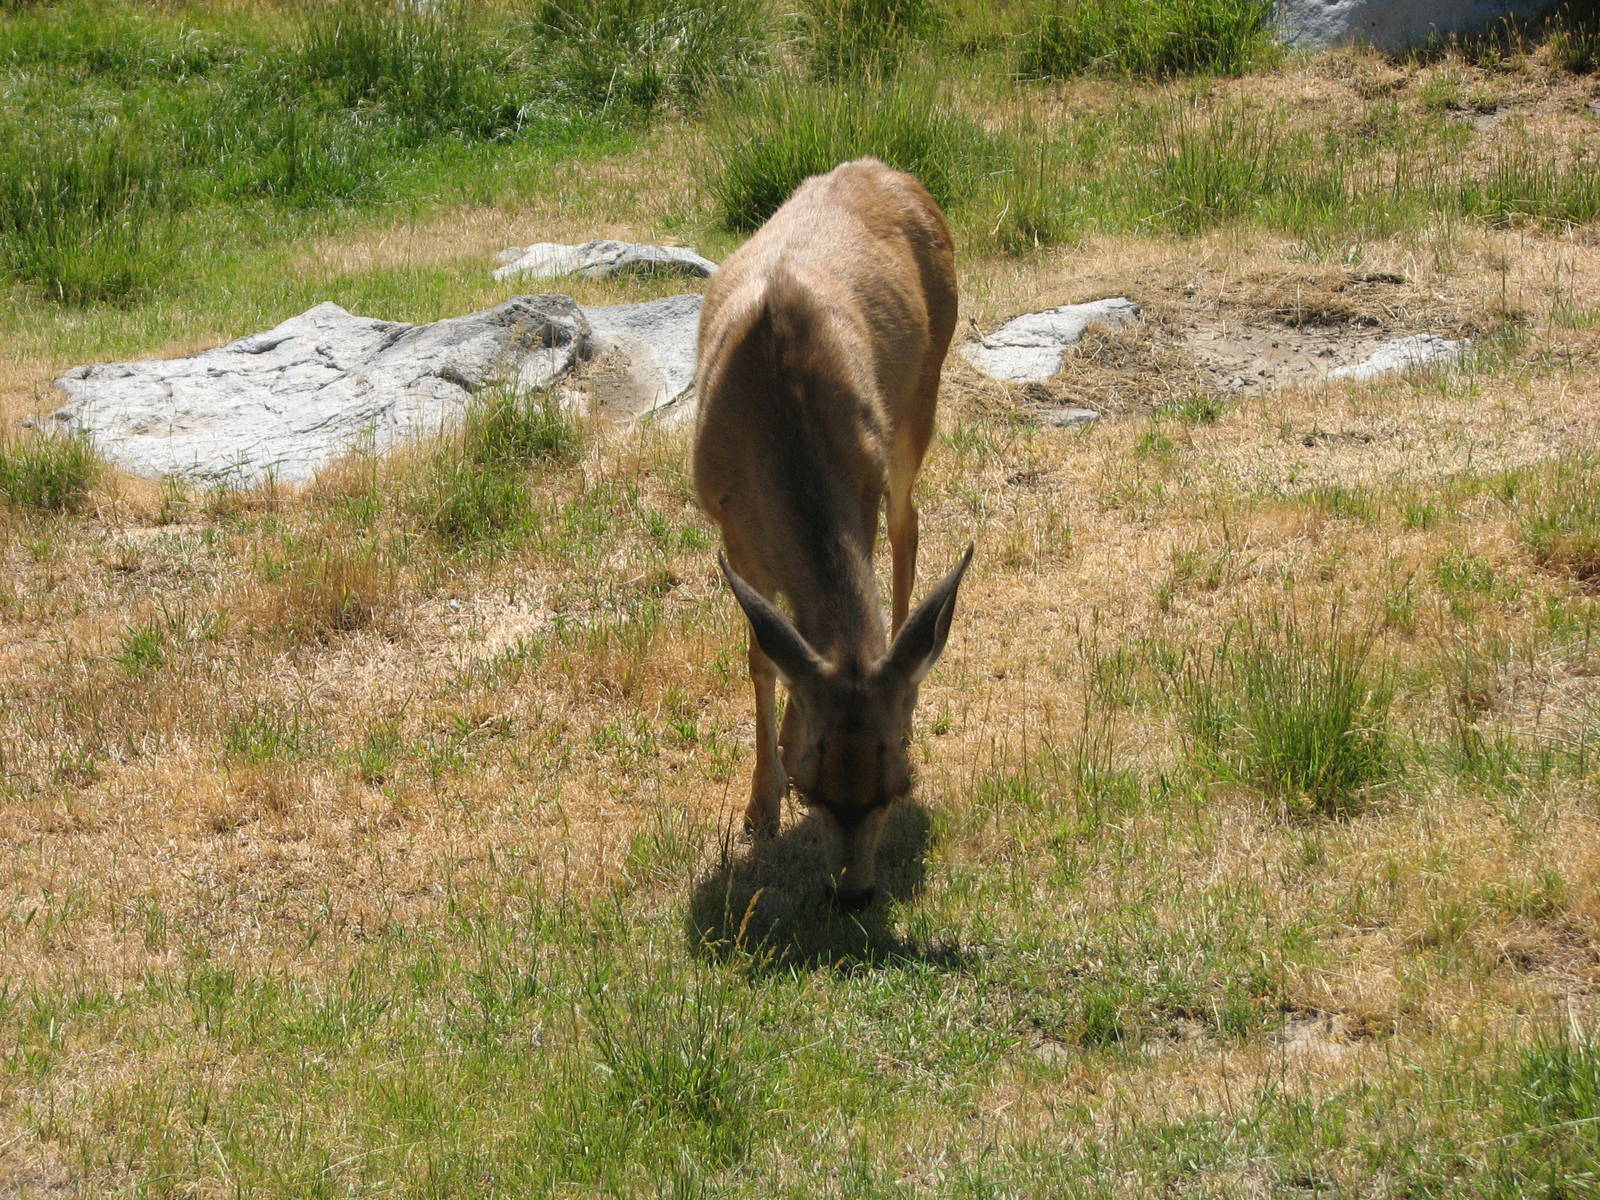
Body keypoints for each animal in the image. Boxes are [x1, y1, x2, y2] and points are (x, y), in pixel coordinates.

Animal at [692, 157, 971, 912]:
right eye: (814, 789)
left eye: (897, 785)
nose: (852, 894)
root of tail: (888, 170)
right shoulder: (730, 527)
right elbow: (763, 655)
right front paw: (761, 804)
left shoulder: (861, 487)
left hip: (922, 394)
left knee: (909, 528)